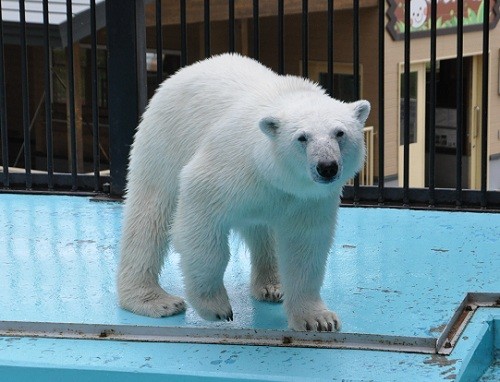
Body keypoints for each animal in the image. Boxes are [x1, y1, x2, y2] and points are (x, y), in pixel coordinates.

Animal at [116, 53, 368, 332]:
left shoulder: (307, 199)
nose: (327, 167)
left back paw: (272, 285)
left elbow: (305, 247)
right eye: (302, 137)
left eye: (340, 133)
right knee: (150, 215)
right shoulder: (231, 165)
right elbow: (201, 214)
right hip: (164, 143)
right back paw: (155, 300)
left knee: (262, 230)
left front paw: (318, 319)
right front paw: (214, 307)